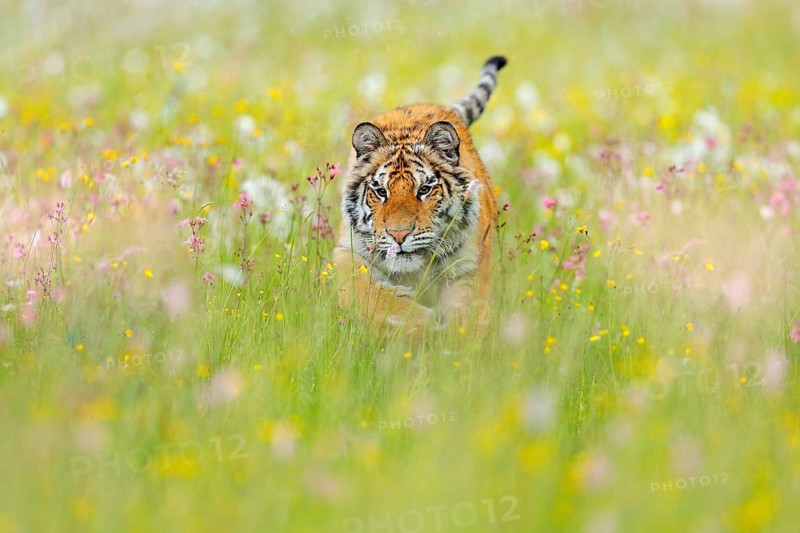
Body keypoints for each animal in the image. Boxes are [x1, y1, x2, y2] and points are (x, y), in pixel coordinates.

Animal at [334, 55, 508, 334]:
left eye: (424, 189)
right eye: (381, 191)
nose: (399, 235)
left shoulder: (467, 267)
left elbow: (467, 317)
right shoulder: (347, 253)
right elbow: (369, 295)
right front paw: (422, 326)